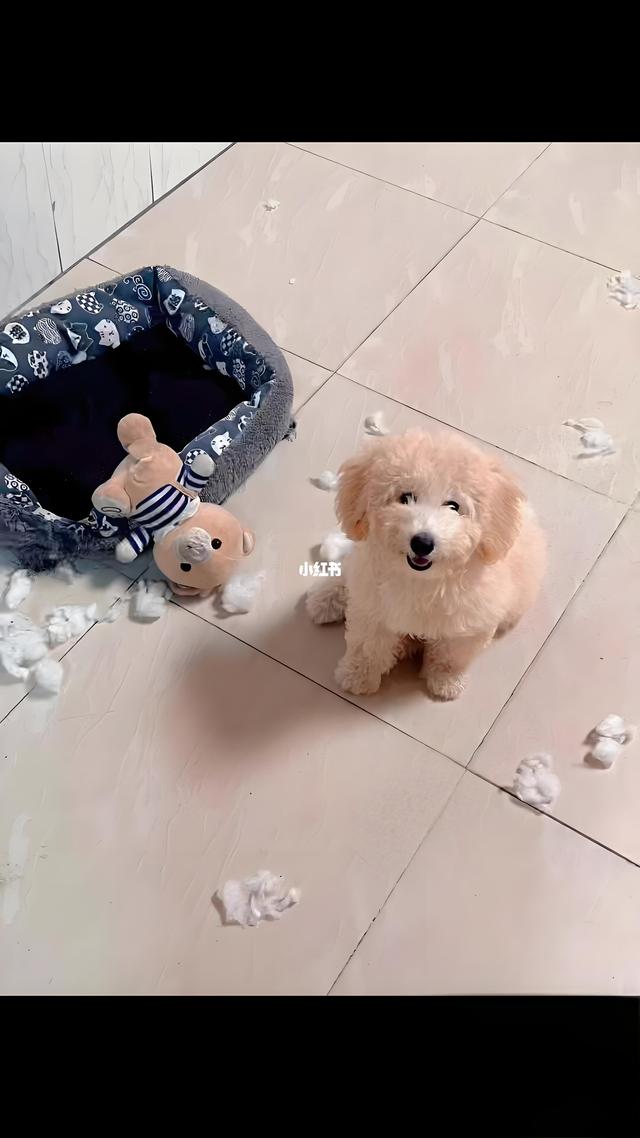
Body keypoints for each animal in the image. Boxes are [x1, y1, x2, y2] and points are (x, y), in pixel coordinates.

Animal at [306, 429, 546, 700]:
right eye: (405, 497)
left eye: (453, 506)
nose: (421, 543)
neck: (422, 580)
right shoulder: (374, 607)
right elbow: (368, 644)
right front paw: (357, 676)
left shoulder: (469, 622)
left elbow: (451, 654)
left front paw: (445, 682)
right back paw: (325, 600)